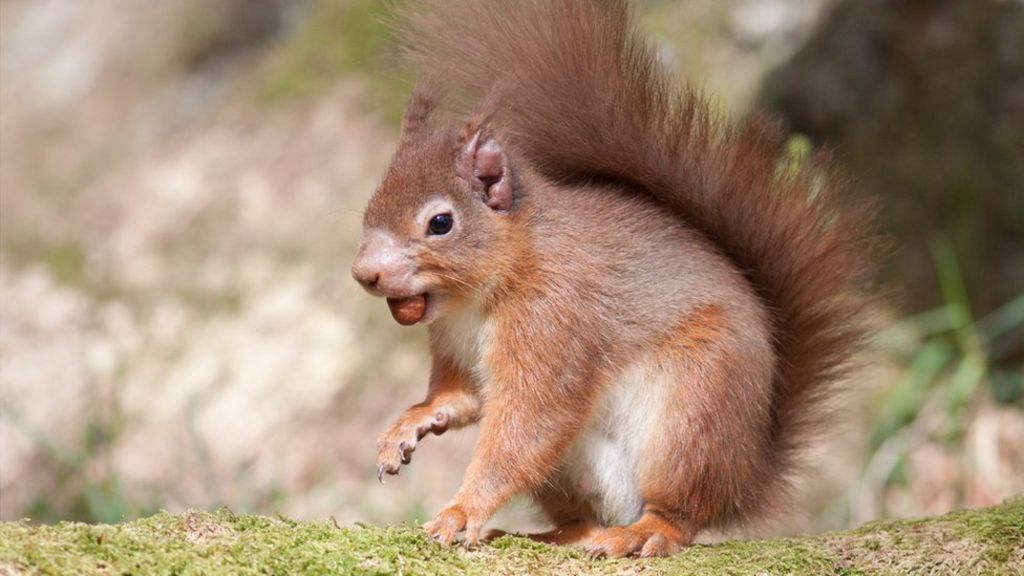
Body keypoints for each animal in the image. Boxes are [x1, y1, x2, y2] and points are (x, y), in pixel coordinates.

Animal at [350, 0, 877, 558]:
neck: (481, 295)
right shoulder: (459, 349)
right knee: (585, 517)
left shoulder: (554, 323)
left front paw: (460, 511)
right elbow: (461, 397)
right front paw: (409, 425)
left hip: (694, 415)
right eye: (371, 204)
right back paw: (544, 533)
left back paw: (640, 533)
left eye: (440, 223)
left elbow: (526, 425)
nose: (364, 273)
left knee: (680, 515)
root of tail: (746, 478)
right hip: (573, 471)